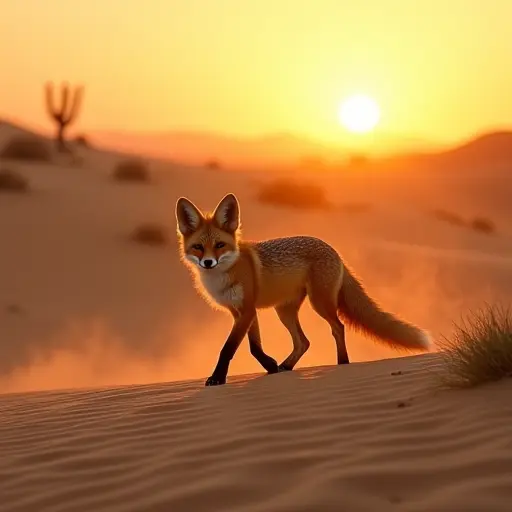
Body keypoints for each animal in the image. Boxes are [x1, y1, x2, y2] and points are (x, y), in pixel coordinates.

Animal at [176, 194, 432, 386]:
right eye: (198, 247)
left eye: (220, 245)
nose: (208, 262)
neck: (223, 276)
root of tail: (334, 251)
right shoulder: (242, 312)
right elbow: (254, 347)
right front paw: (270, 366)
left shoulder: (246, 310)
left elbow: (228, 348)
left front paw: (217, 378)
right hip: (285, 311)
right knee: (303, 342)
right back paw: (287, 366)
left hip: (319, 303)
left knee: (338, 327)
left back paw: (343, 363)